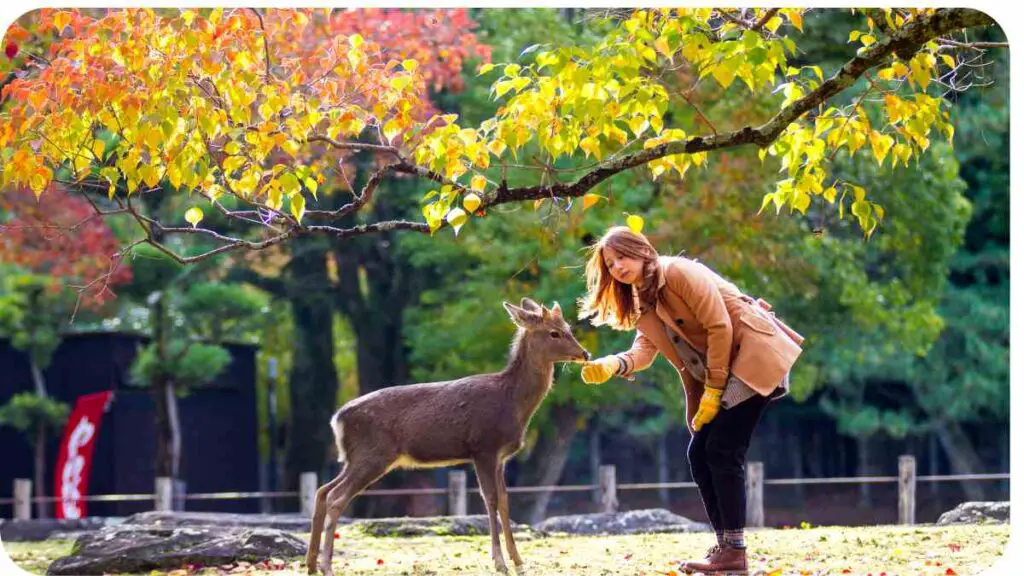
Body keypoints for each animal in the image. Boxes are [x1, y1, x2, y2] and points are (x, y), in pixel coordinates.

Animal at [307, 295, 589, 573]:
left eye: (568, 327)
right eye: (554, 333)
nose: (584, 353)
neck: (512, 402)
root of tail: (337, 418)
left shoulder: (501, 457)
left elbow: (505, 501)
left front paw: (518, 562)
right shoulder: (483, 447)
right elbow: (491, 500)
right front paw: (500, 562)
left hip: (356, 457)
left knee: (322, 491)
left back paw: (311, 564)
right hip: (373, 454)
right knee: (336, 497)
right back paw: (326, 566)